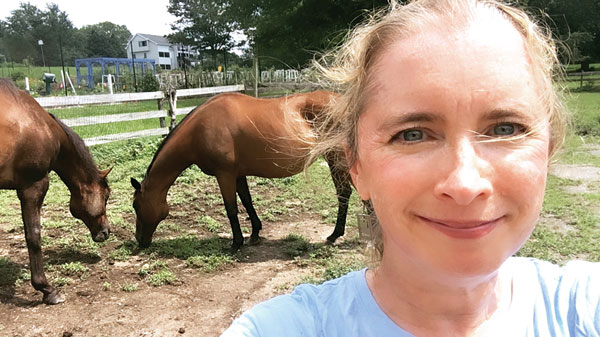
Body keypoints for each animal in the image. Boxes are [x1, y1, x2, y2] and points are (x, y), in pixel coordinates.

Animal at [129, 90, 350, 251]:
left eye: (136, 206)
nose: (140, 240)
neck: (199, 129)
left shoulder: (224, 174)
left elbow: (231, 208)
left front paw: (236, 242)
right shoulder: (238, 174)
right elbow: (247, 201)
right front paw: (255, 233)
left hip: (337, 160)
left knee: (344, 193)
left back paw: (335, 235)